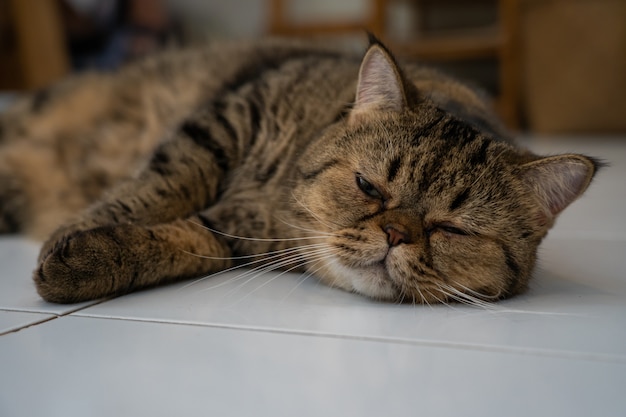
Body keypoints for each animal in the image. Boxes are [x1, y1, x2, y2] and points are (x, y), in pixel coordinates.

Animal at [0, 35, 596, 302]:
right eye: (368, 186)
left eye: (451, 229)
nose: (395, 234)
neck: (279, 192)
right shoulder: (225, 122)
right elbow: (159, 184)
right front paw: (80, 227)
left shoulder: (230, 235)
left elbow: (177, 242)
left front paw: (88, 257)